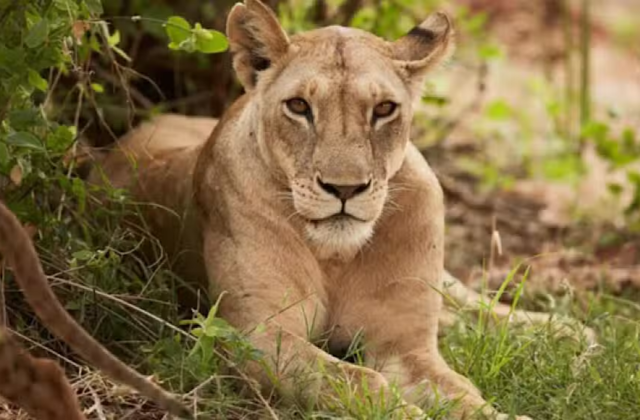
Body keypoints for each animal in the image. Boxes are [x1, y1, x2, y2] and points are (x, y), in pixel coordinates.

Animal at [88, 1, 594, 418]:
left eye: (384, 109)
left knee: (469, 301)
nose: (345, 188)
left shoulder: (405, 346)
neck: (337, 254)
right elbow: (360, 383)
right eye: (299, 106)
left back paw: (567, 332)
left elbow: (463, 393)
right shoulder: (256, 335)